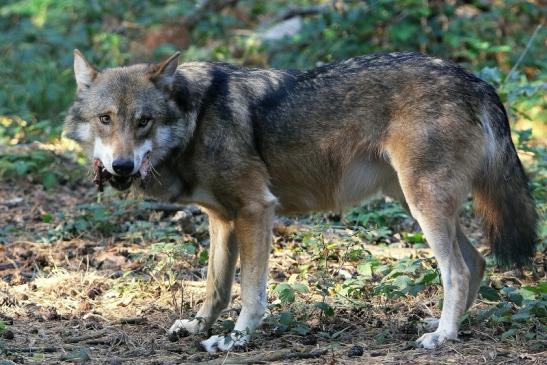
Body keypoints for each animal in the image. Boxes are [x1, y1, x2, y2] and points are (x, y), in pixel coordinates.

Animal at [65, 49, 540, 352]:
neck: (196, 118)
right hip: (414, 201)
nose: (121, 166)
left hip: (422, 203)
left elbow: (251, 292)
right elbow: (216, 287)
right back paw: (450, 327)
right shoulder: (222, 220)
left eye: (143, 121)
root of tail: (478, 81)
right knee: (476, 262)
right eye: (105, 119)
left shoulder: (257, 209)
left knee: (456, 270)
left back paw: (441, 337)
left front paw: (235, 339)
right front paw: (197, 326)